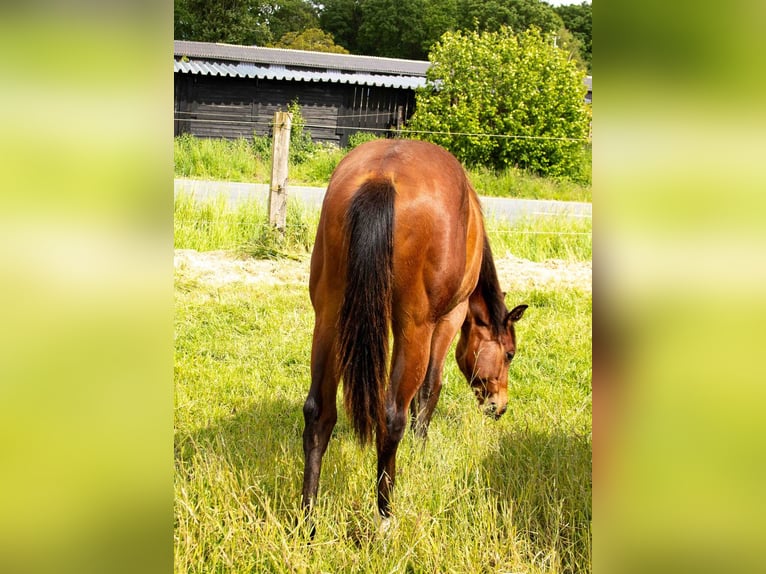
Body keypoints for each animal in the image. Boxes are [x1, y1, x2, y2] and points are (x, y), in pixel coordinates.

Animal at [301, 139, 527, 524]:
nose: (499, 406)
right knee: (392, 416)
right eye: (509, 354)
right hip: (415, 327)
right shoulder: (448, 319)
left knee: (318, 412)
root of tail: (382, 177)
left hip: (329, 317)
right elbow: (429, 388)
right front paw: (421, 448)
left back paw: (307, 519)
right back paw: (385, 516)